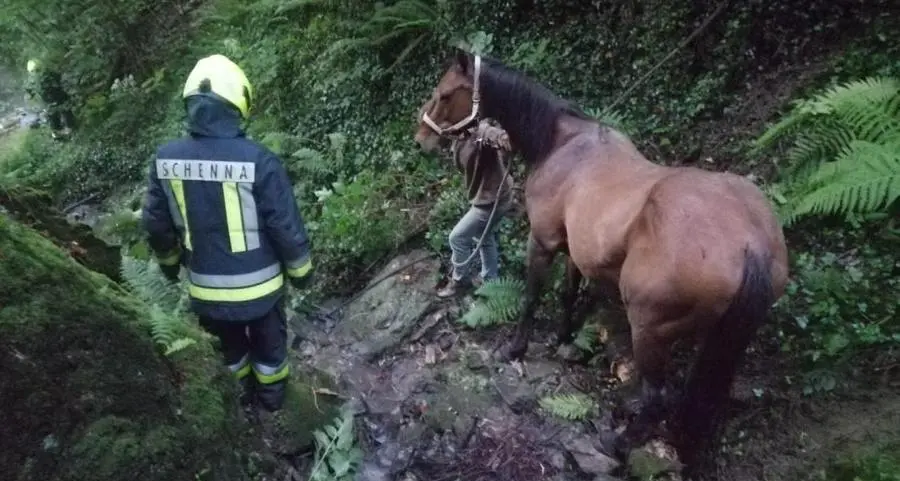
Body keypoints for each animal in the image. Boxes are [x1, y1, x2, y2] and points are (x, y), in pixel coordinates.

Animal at [413, 50, 789, 473]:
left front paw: (516, 348)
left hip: (649, 327)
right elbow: (567, 293)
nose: (421, 139)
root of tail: (750, 244)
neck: (562, 143)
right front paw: (562, 337)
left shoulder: (541, 242)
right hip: (714, 338)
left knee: (657, 397)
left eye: (445, 94)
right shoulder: (574, 249)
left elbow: (532, 296)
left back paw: (620, 443)